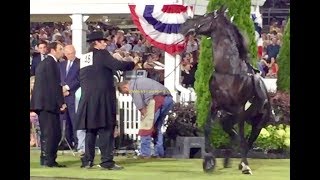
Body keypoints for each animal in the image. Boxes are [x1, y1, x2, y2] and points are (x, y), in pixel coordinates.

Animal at [179, 5, 274, 174]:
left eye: (206, 16)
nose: (185, 24)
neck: (228, 72)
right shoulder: (215, 105)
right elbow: (207, 128)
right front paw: (209, 160)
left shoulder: (240, 110)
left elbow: (242, 138)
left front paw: (245, 166)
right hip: (228, 119)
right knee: (233, 135)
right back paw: (230, 160)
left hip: (258, 123)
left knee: (247, 141)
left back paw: (243, 164)